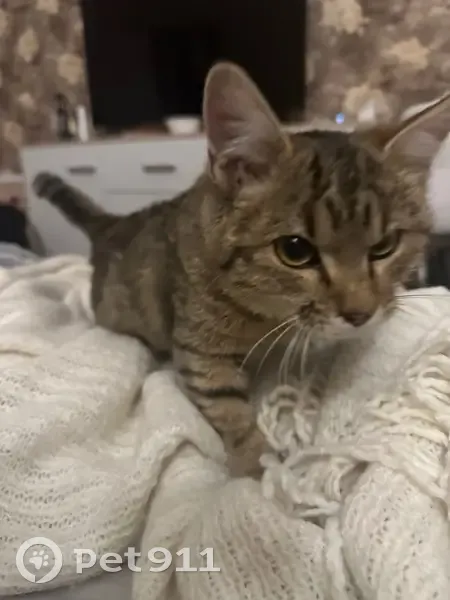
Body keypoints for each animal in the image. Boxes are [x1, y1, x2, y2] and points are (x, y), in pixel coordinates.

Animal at [33, 62, 450, 476]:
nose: (360, 315)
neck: (266, 315)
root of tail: (112, 225)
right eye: (295, 250)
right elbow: (229, 410)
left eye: (385, 246)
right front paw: (261, 467)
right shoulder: (200, 353)